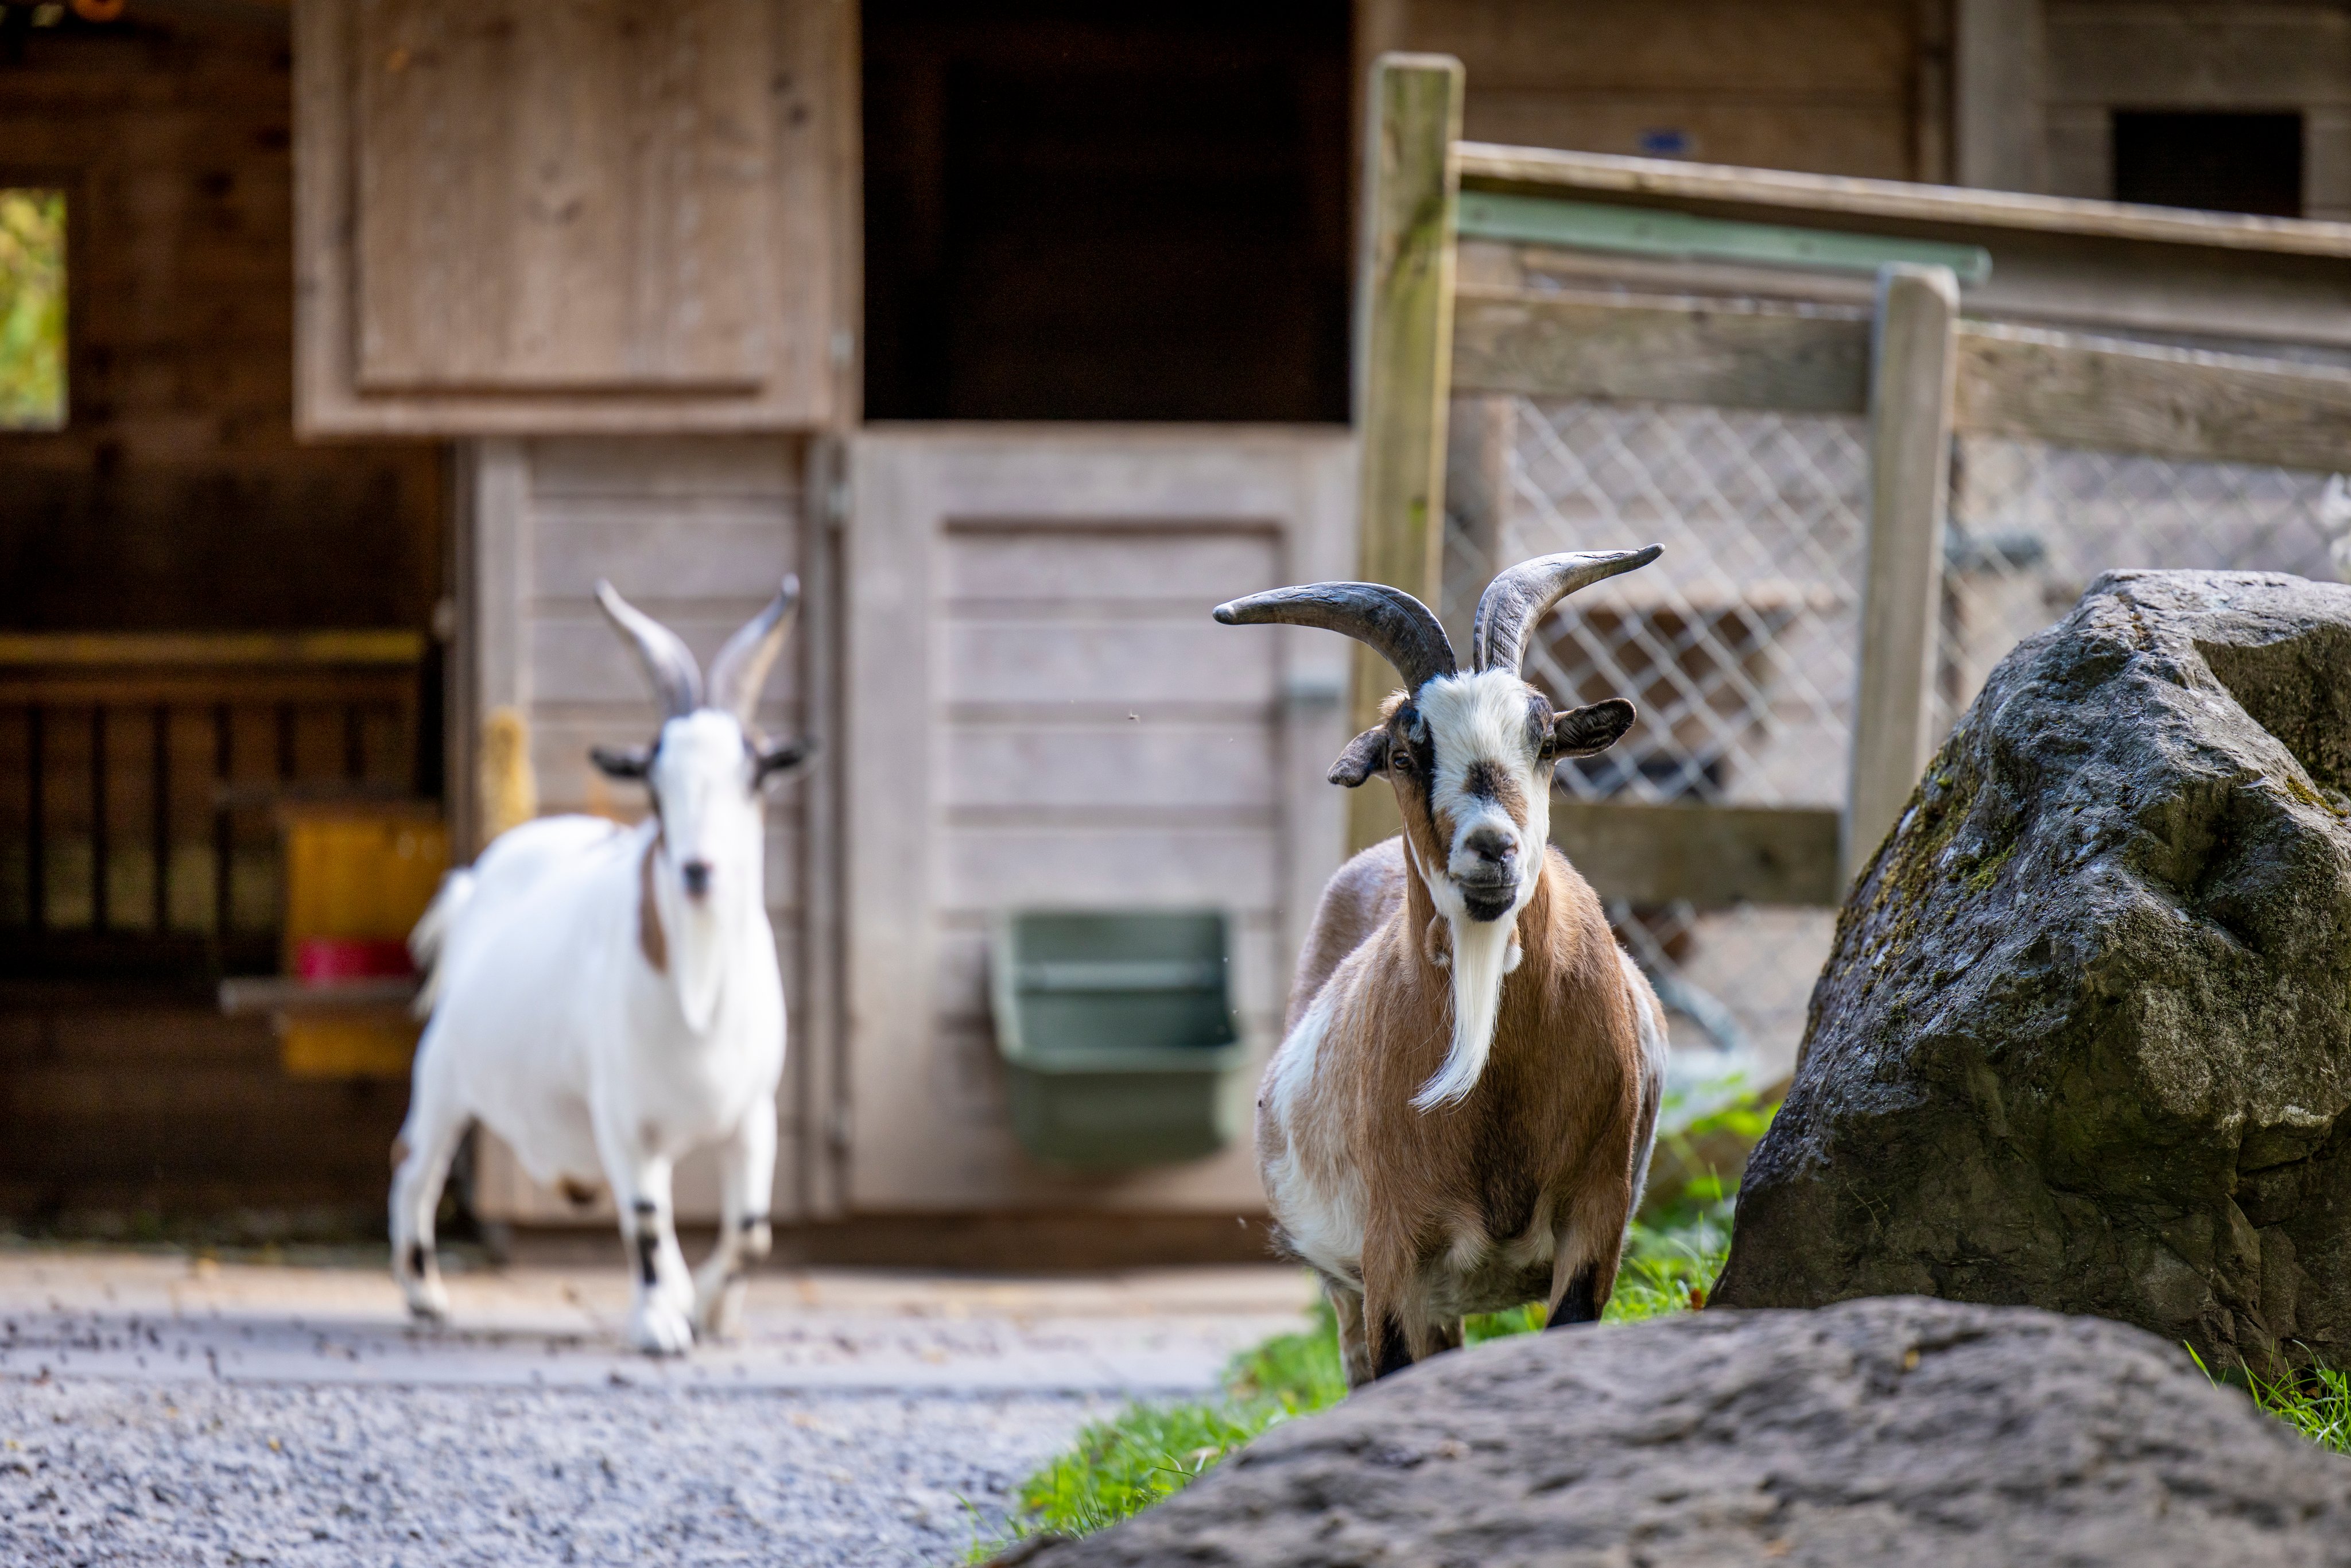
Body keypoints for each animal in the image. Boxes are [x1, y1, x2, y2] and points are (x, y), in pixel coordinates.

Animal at [392, 578, 812, 1355]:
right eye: (654, 783)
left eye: (754, 776)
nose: (698, 869)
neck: (697, 988)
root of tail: (475, 883)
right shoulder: (621, 1110)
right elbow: (645, 1217)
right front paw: (660, 1326)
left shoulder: (753, 1113)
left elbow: (752, 1231)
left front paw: (710, 1310)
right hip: (444, 1073)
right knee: (416, 1164)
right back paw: (425, 1294)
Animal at [1216, 551, 1671, 1386]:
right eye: (1404, 752)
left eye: (1544, 740)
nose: (1493, 848)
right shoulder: (1394, 1245)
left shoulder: (1596, 1213)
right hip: (1352, 1282)